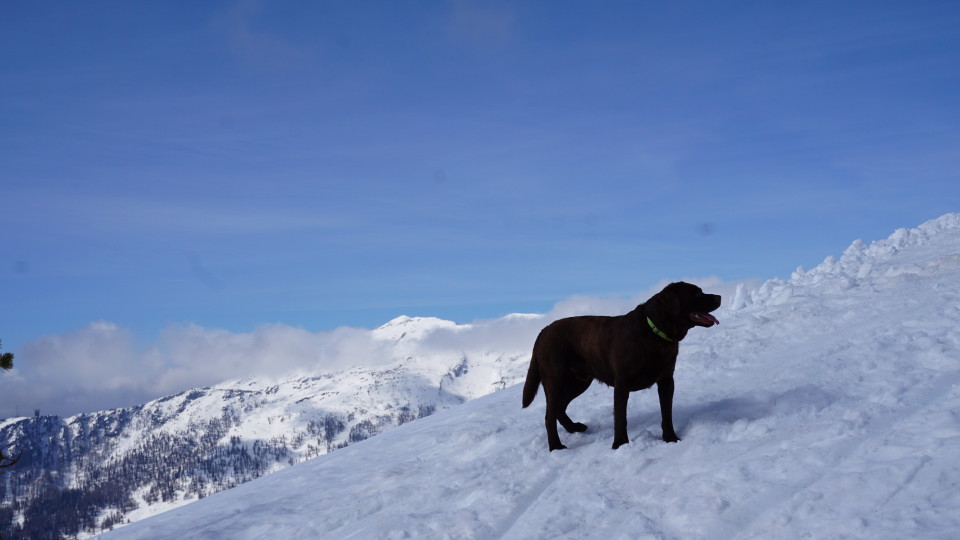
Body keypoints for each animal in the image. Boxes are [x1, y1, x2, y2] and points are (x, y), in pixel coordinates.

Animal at [524, 282, 720, 452]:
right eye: (697, 293)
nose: (719, 296)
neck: (653, 331)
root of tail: (543, 331)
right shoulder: (622, 384)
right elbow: (620, 417)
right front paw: (620, 444)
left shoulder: (666, 381)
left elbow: (667, 414)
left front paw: (670, 438)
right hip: (556, 381)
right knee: (549, 415)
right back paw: (556, 446)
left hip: (579, 381)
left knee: (559, 407)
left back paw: (573, 427)